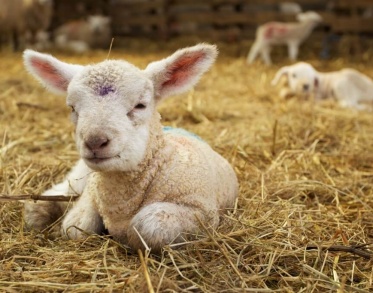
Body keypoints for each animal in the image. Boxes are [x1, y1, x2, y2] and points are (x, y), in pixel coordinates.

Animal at [22, 42, 238, 251]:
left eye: (140, 105)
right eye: (72, 108)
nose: (95, 141)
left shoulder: (202, 212)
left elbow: (146, 226)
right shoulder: (91, 193)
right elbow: (76, 227)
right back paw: (39, 209)